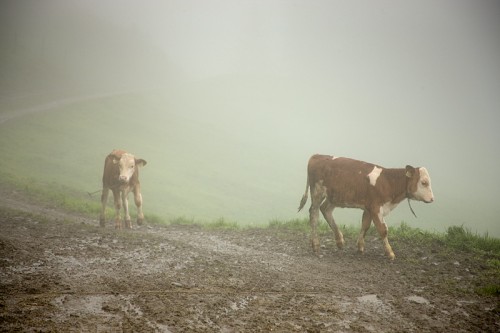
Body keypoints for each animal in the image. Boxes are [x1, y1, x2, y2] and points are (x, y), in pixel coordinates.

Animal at [296, 154, 434, 260]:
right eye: (424, 182)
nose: (432, 199)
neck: (388, 181)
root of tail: (318, 155)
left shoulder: (369, 209)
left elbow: (365, 226)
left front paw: (360, 246)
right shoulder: (375, 208)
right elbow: (383, 230)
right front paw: (390, 253)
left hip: (334, 196)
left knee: (325, 210)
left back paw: (339, 241)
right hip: (317, 192)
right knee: (314, 214)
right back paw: (316, 244)